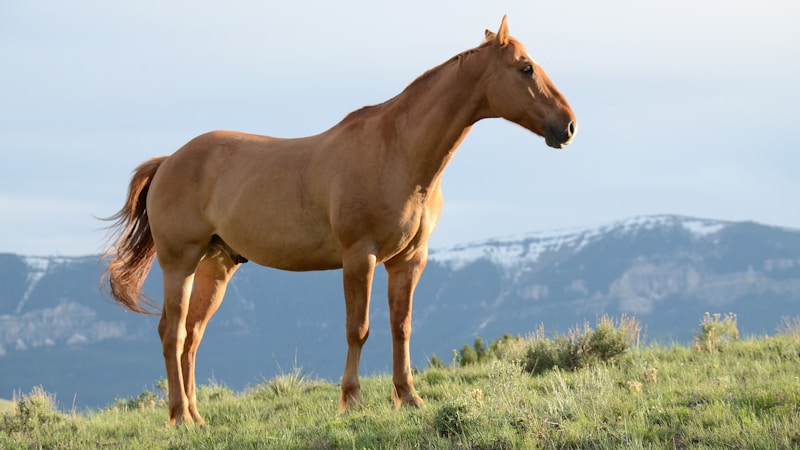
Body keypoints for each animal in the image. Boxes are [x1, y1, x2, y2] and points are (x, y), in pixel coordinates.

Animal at [102, 16, 576, 426]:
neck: (397, 152)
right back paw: (180, 416)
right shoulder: (359, 257)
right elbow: (358, 329)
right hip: (179, 261)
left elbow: (401, 327)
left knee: (192, 335)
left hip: (216, 265)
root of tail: (169, 161)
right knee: (172, 332)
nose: (568, 126)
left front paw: (409, 398)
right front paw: (353, 400)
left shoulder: (409, 260)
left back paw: (196, 416)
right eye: (525, 68)